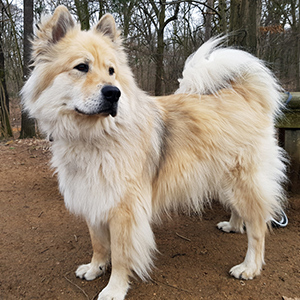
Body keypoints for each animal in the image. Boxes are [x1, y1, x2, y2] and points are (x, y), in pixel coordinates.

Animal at [21, 5, 286, 300]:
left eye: (111, 71)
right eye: (81, 67)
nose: (113, 93)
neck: (95, 135)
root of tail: (243, 94)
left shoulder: (124, 209)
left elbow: (121, 255)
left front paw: (114, 288)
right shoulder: (95, 197)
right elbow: (98, 243)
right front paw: (95, 268)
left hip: (244, 182)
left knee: (258, 227)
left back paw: (250, 266)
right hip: (224, 179)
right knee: (243, 215)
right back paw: (233, 224)